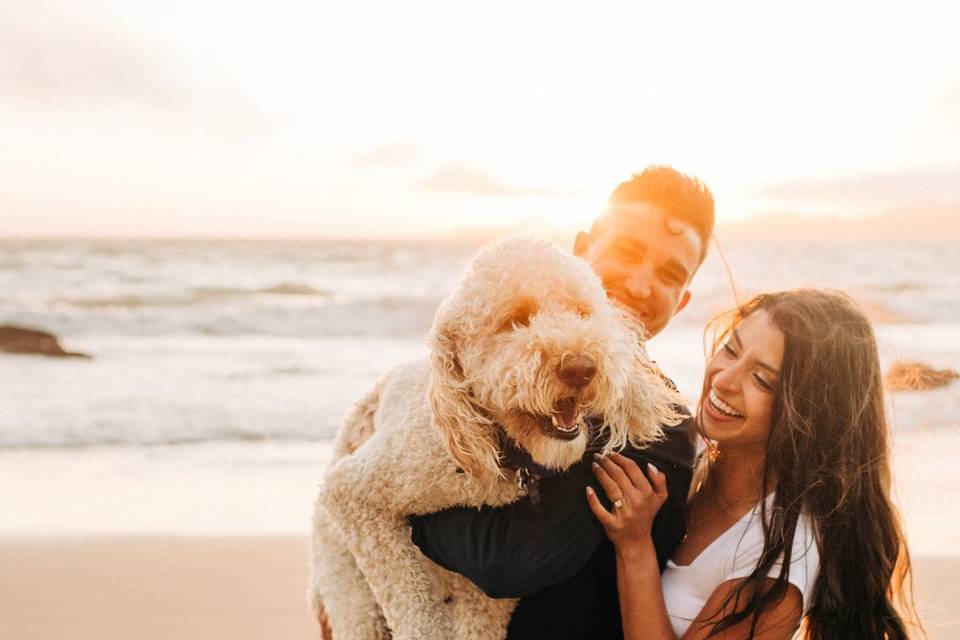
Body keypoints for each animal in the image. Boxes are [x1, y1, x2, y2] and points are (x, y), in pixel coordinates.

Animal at [312, 238, 680, 640]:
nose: (581, 367)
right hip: (346, 576)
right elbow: (413, 604)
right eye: (515, 321)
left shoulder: (482, 594)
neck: (505, 451)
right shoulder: (358, 494)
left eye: (582, 314)